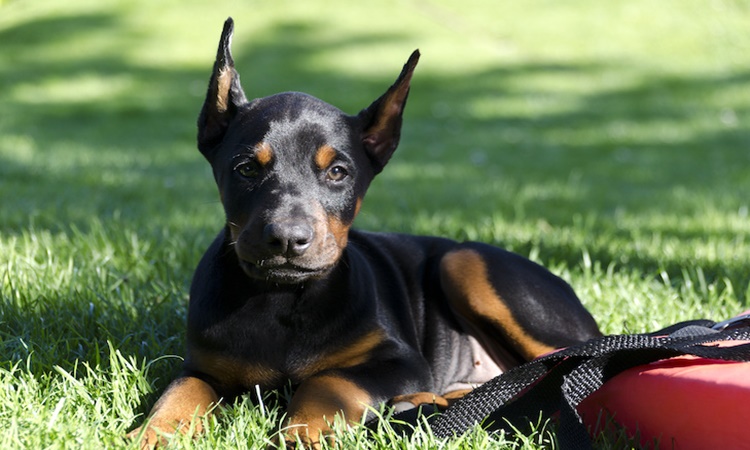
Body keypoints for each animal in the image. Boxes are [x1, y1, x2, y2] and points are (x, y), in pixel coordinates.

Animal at [128, 16, 600, 446]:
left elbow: (328, 380)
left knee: (561, 362)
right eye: (245, 169)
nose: (287, 239)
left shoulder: (400, 360)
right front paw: (155, 433)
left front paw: (304, 433)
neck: (281, 300)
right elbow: (181, 391)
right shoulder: (204, 365)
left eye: (337, 172)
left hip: (464, 261)